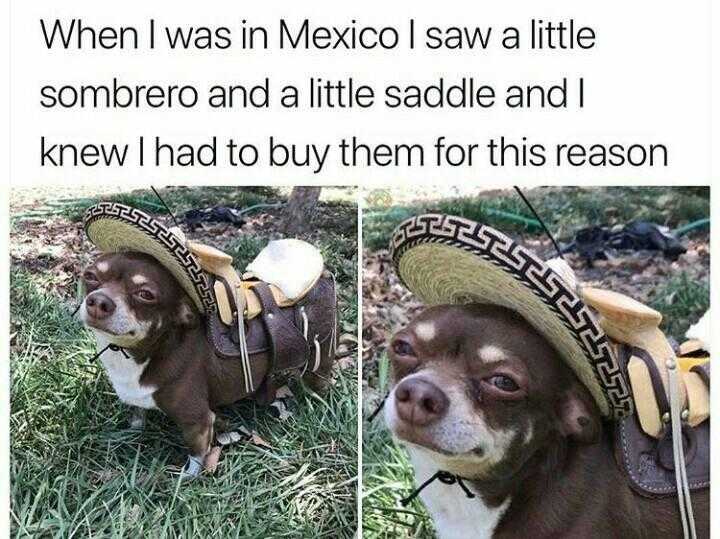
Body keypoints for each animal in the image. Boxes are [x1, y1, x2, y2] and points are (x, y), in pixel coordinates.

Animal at [80, 251, 334, 474]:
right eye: (90, 275)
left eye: (145, 294)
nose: (98, 301)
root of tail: (323, 275)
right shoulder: (135, 398)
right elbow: (136, 417)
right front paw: (129, 435)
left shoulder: (198, 422)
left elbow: (196, 453)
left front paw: (187, 477)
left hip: (320, 360)